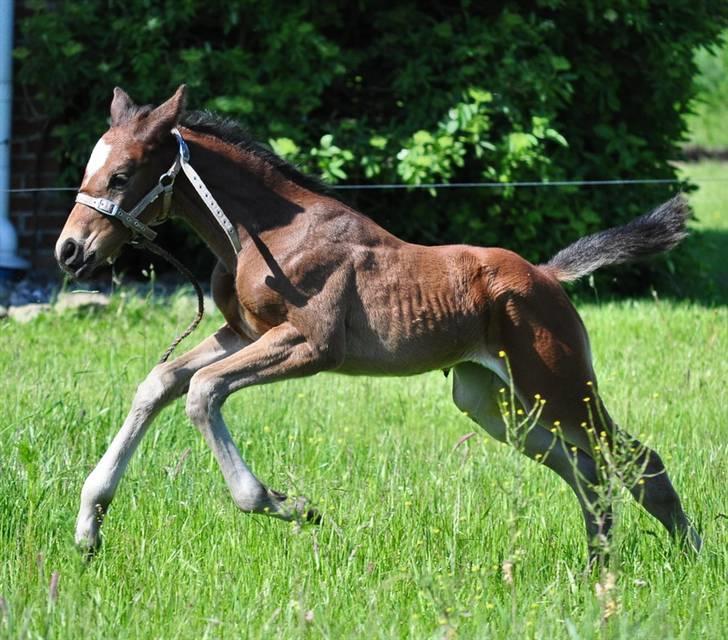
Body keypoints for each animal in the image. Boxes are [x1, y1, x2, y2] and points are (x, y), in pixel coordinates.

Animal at [55, 86, 700, 560]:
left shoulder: (310, 345)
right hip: (495, 402)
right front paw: (89, 525)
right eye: (90, 170)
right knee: (586, 470)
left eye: (122, 175)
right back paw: (597, 566)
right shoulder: (243, 333)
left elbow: (202, 391)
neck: (264, 235)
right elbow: (160, 382)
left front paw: (289, 505)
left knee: (638, 459)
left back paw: (689, 555)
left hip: (559, 383)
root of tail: (545, 275)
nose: (70, 250)